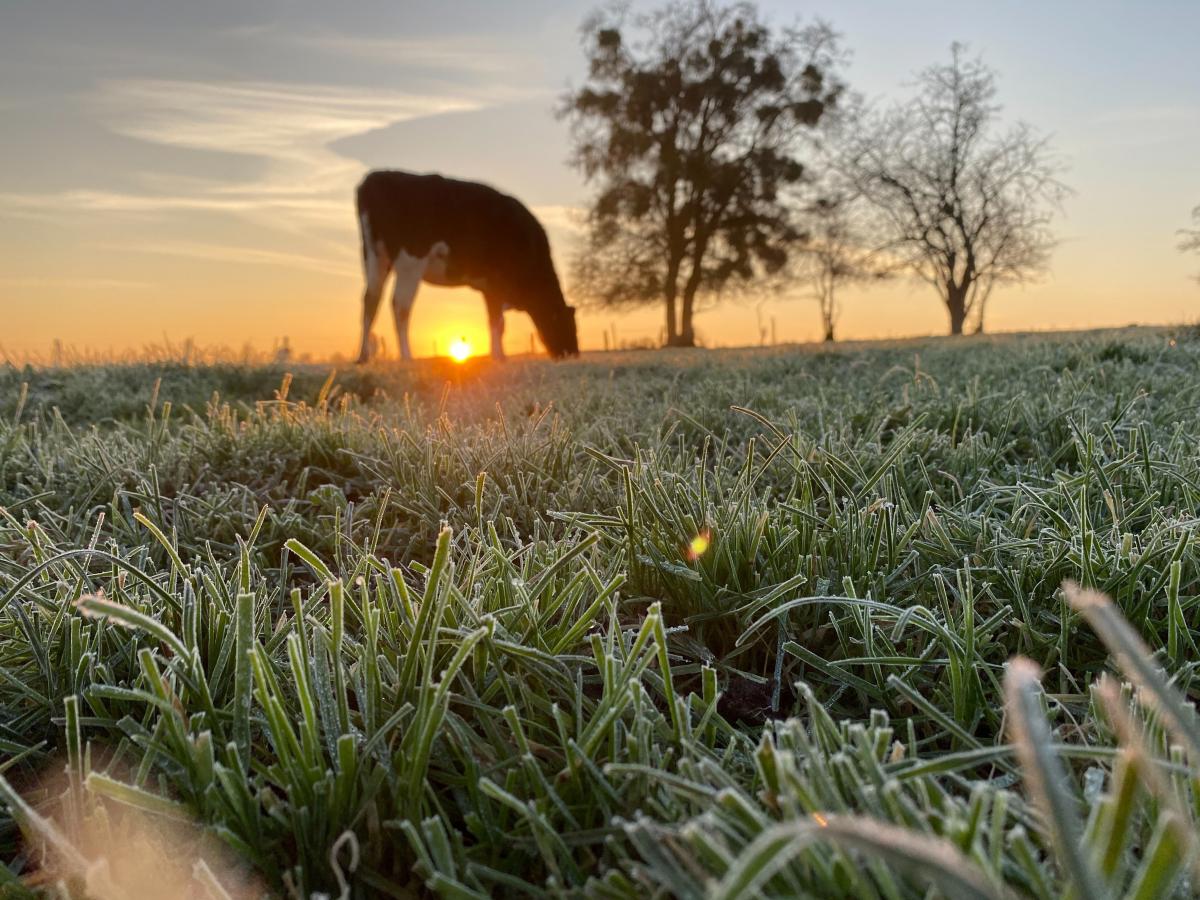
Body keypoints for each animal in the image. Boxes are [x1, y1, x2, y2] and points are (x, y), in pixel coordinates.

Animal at [352, 170, 578, 362]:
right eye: (568, 325)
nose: (574, 353)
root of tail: (374, 179)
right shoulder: (495, 283)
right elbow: (497, 322)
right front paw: (499, 357)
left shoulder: (488, 287)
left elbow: (497, 321)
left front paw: (498, 355)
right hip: (410, 262)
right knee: (400, 305)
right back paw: (407, 357)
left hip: (374, 257)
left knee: (370, 300)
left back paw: (363, 357)